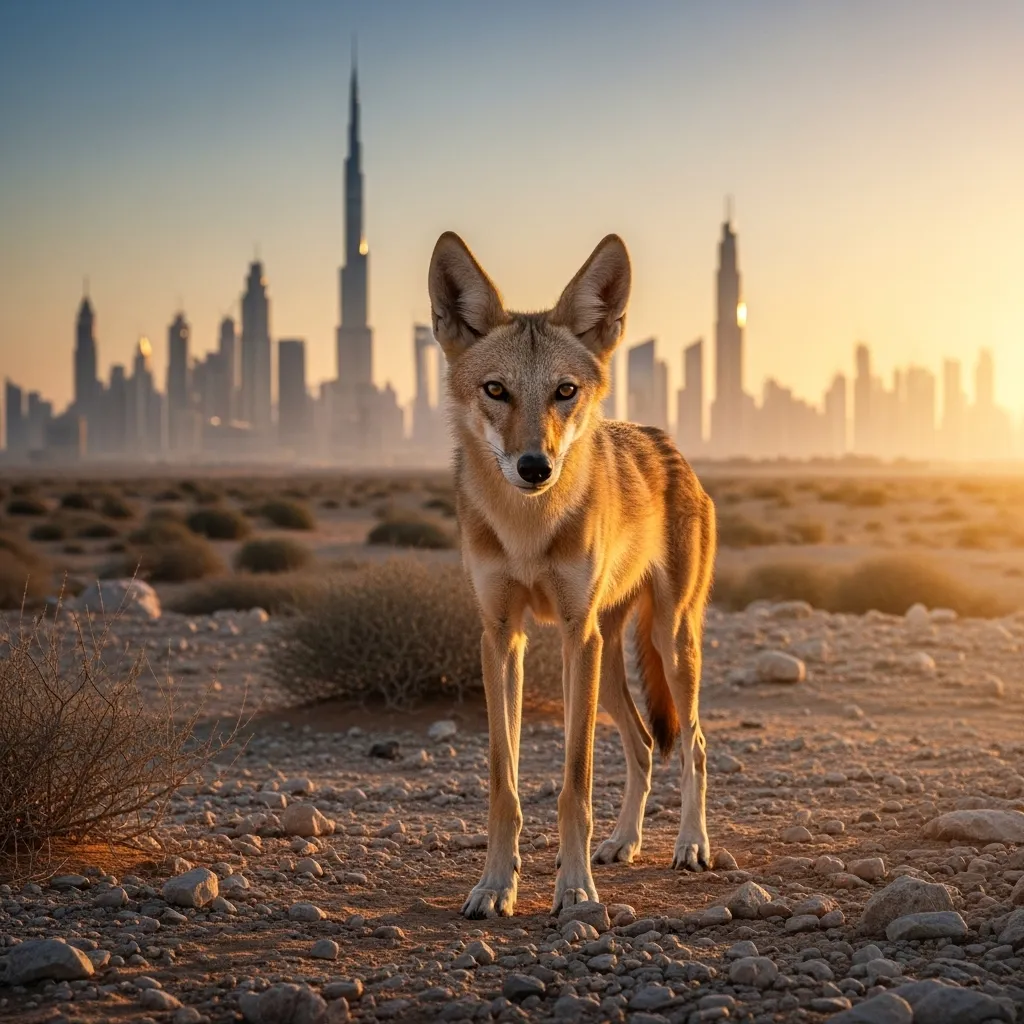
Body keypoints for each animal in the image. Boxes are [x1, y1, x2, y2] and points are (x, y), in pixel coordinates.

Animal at [427, 231, 717, 918]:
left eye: (564, 391)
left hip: (664, 642)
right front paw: (495, 885)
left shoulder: (571, 634)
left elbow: (574, 784)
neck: (528, 529)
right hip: (606, 661)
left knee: (693, 745)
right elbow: (504, 785)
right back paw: (622, 842)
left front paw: (576, 891)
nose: (535, 466)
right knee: (644, 745)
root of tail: (669, 445)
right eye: (496, 390)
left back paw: (690, 846)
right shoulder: (501, 636)